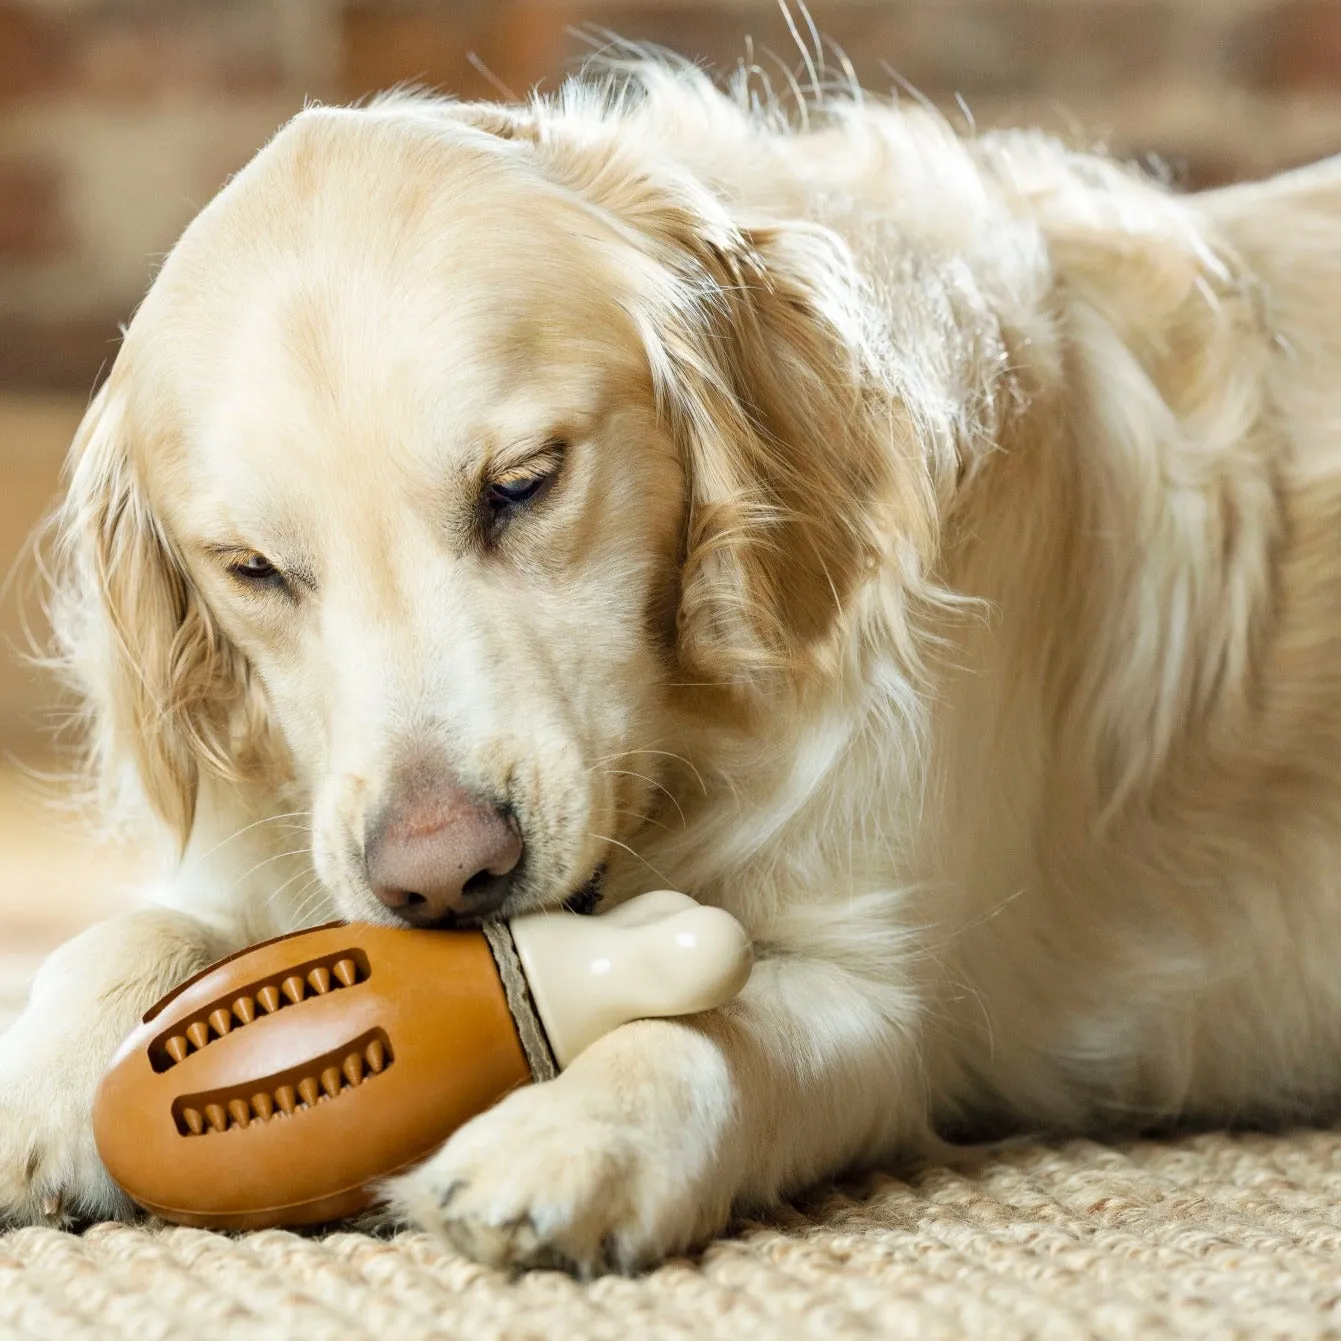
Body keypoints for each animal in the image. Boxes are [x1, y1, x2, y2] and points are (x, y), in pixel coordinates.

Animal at [2, 57, 1341, 1271]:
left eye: (523, 484)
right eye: (252, 569)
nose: (441, 879)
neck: (686, 742)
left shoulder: (890, 1000)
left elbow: (718, 1030)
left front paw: (573, 1133)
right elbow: (126, 938)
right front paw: (34, 1086)